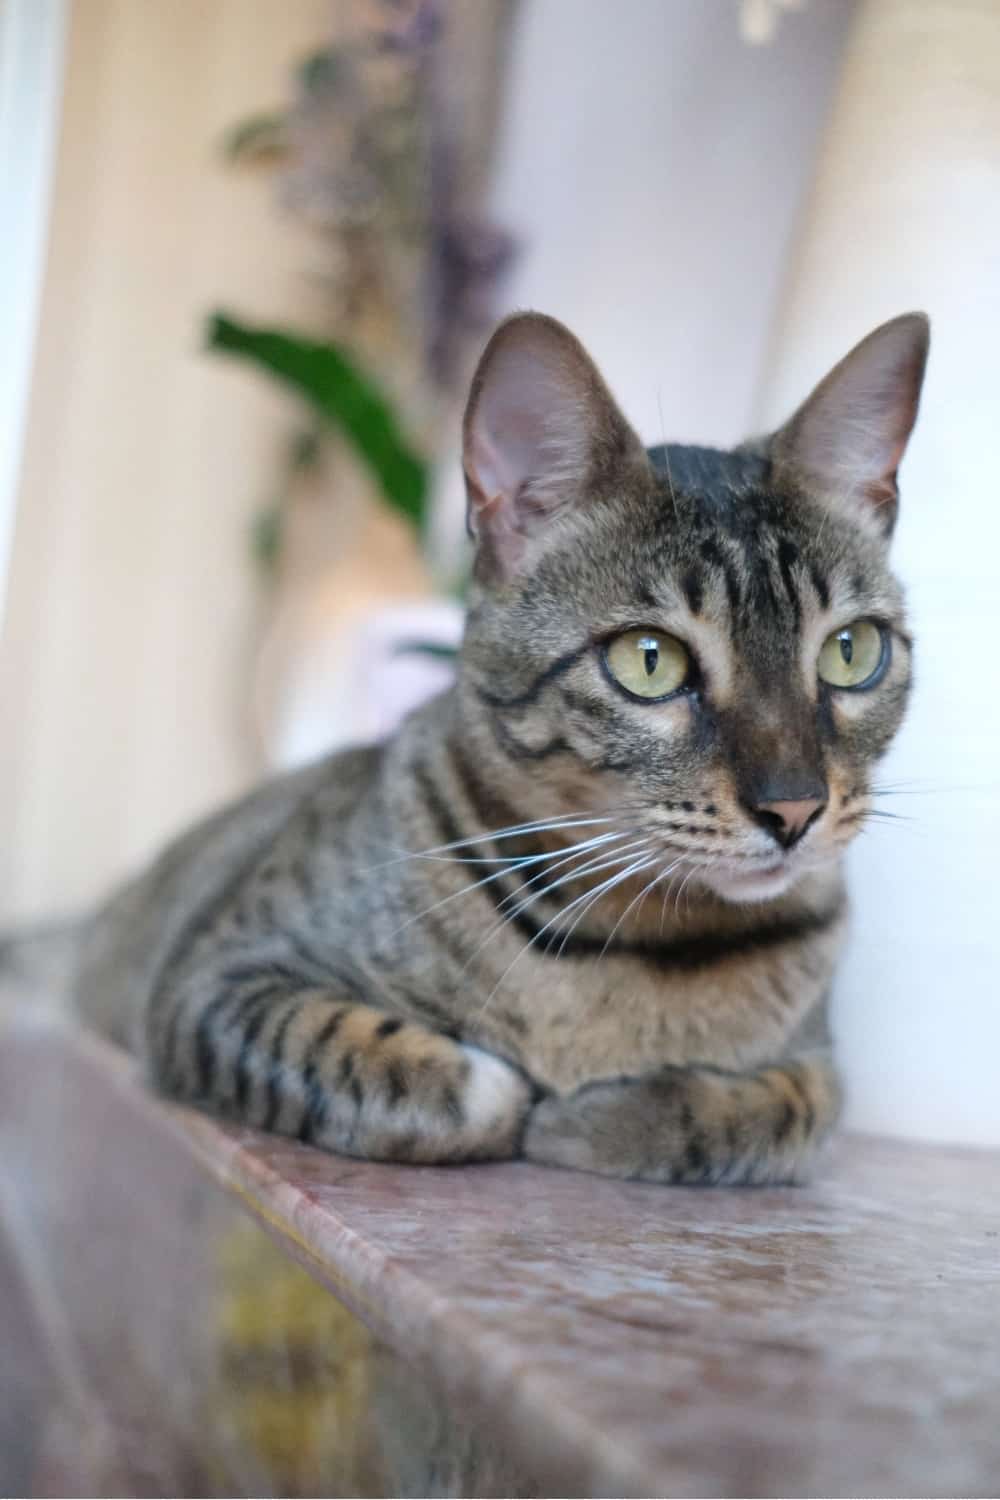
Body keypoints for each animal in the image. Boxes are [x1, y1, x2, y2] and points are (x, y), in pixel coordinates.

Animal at [1, 313, 929, 1182]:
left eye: (852, 652)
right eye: (649, 661)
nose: (796, 807)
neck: (637, 946)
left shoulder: (821, 1065)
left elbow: (778, 1107)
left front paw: (614, 1115)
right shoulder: (215, 977)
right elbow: (403, 1067)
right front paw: (525, 1100)